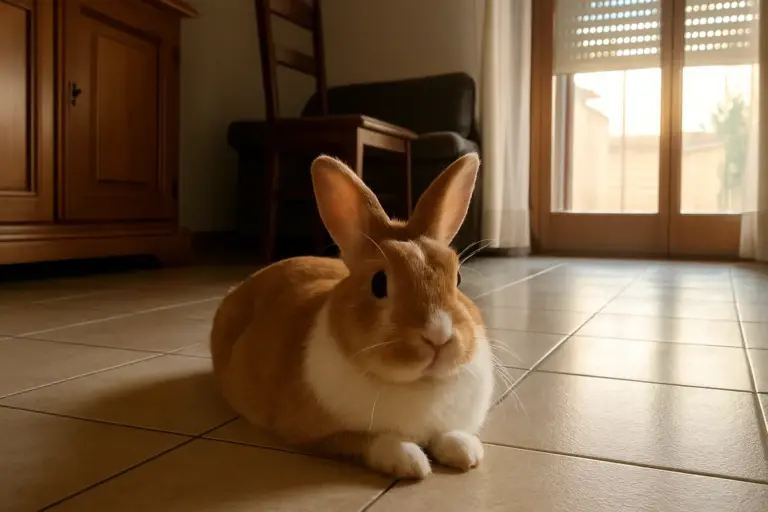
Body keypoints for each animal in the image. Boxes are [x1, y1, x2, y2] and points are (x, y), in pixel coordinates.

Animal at [210, 152, 494, 479]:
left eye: (457, 278)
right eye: (379, 283)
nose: (438, 336)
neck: (419, 383)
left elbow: (448, 434)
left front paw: (466, 451)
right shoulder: (321, 436)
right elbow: (368, 441)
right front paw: (409, 461)